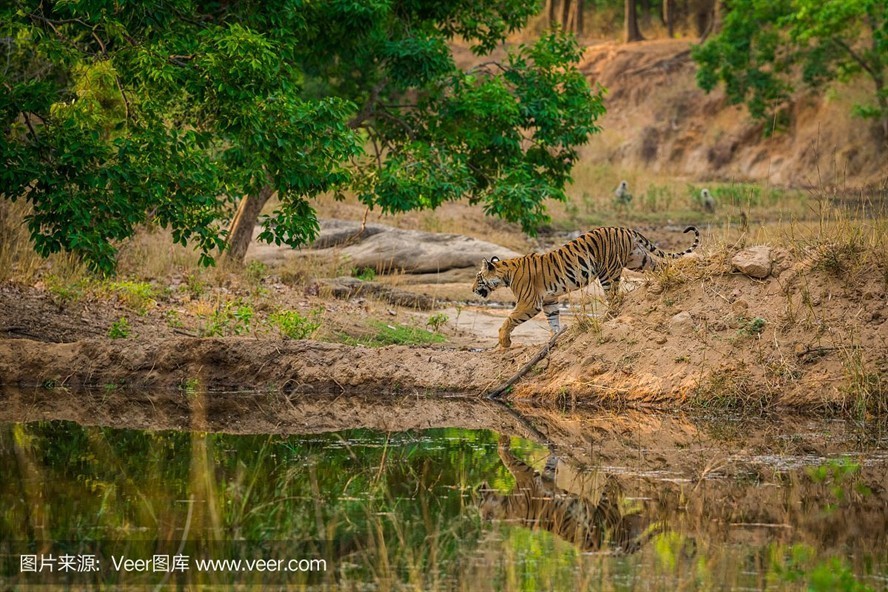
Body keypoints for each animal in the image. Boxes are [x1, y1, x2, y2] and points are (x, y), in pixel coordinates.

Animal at [473, 226, 700, 348]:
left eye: (478, 277)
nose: (473, 289)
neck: (506, 274)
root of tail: (623, 228)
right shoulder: (549, 300)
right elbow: (553, 319)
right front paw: (555, 337)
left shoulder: (529, 302)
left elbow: (509, 319)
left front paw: (504, 342)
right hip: (638, 259)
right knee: (661, 265)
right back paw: (671, 277)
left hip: (608, 272)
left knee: (615, 299)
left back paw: (605, 319)